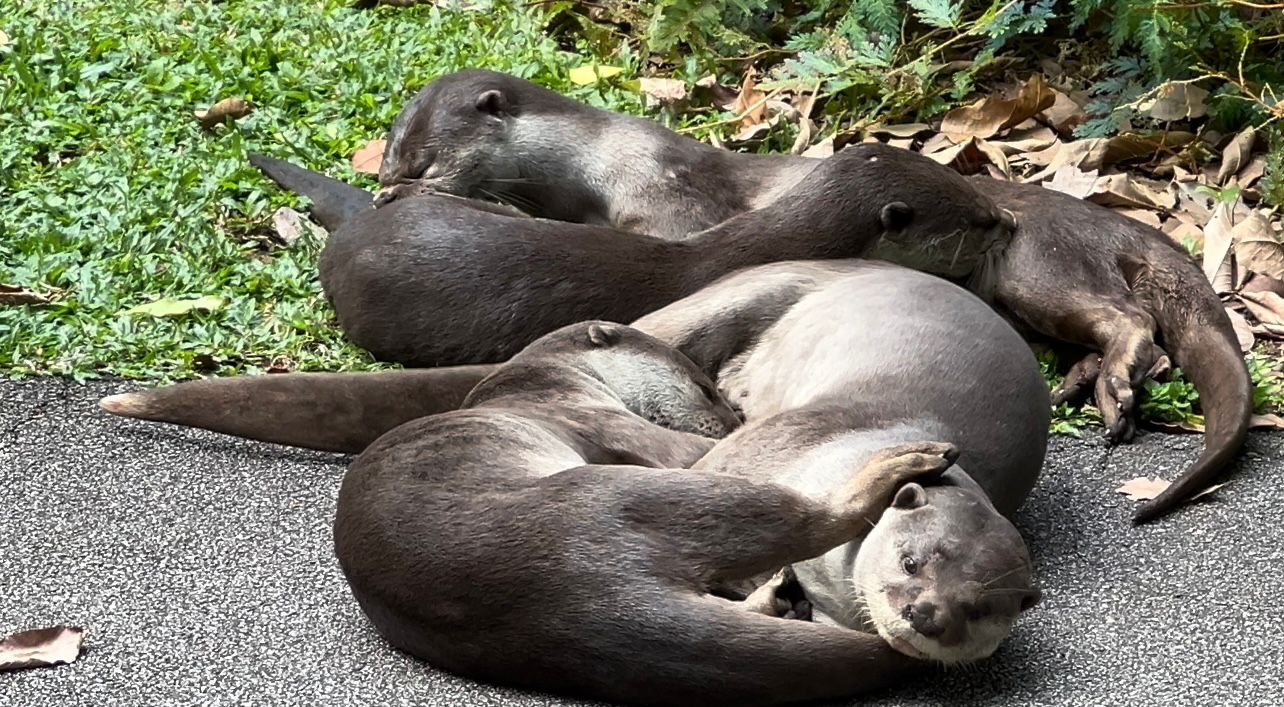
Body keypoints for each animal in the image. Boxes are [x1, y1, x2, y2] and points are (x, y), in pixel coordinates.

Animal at [331, 319, 983, 706]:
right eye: (706, 388)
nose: (733, 417)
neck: (539, 379)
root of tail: (564, 599)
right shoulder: (607, 420)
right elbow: (687, 450)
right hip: (643, 497)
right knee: (811, 515)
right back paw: (907, 460)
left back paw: (776, 599)